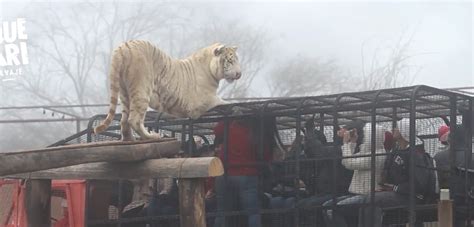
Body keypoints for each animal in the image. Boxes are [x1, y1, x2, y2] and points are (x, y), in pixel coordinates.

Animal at [93, 40, 241, 140]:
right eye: (230, 61)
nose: (239, 74)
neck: (211, 70)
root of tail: (123, 47)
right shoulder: (203, 102)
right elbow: (225, 102)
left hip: (124, 93)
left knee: (124, 121)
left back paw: (130, 139)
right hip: (142, 89)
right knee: (134, 120)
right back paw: (153, 136)